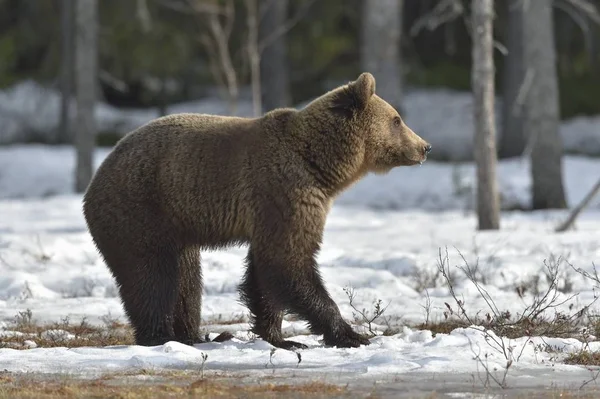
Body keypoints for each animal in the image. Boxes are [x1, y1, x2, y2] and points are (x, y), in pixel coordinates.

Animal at [83, 72, 432, 350]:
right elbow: (287, 262)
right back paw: (161, 336)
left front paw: (280, 336)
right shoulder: (285, 192)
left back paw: (193, 335)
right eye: (397, 119)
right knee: (152, 275)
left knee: (188, 279)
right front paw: (350, 334)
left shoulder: (274, 210)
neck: (320, 166)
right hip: (143, 210)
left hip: (177, 226)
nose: (425, 146)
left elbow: (263, 272)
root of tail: (95, 180)